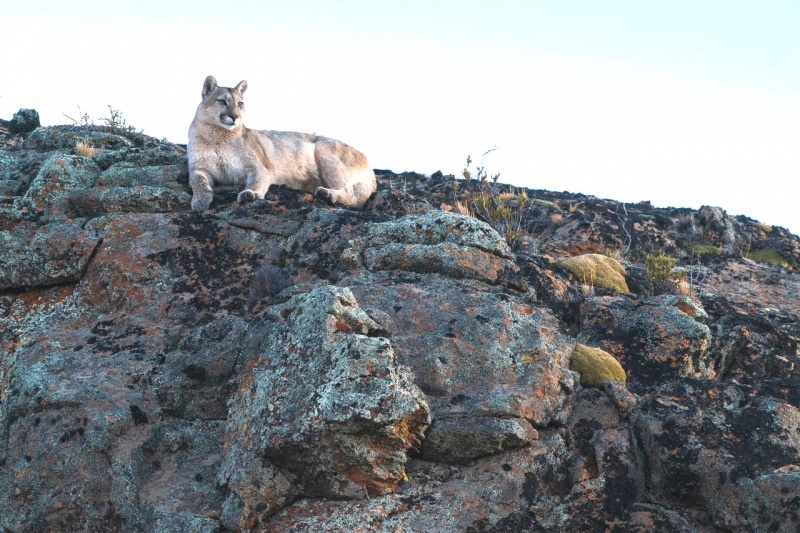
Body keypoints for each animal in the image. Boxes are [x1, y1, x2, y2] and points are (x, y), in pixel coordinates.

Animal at [188, 75, 378, 212]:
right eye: (222, 101)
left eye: (240, 103)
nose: (235, 117)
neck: (218, 137)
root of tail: (367, 161)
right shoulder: (199, 168)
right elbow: (198, 183)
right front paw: (200, 200)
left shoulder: (258, 167)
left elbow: (256, 181)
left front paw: (250, 194)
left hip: (324, 151)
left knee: (352, 196)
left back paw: (327, 194)